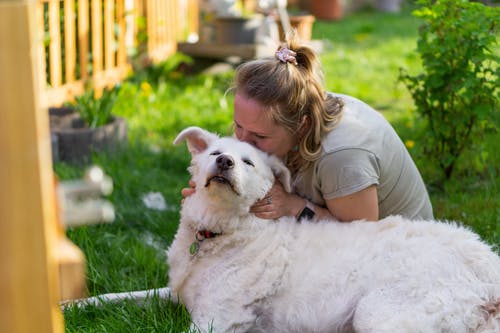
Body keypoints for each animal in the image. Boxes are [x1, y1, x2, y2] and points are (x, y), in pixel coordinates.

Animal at [167, 126, 500, 330]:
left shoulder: (216, 319)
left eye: (248, 162)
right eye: (214, 153)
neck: (218, 230)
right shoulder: (177, 295)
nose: (225, 162)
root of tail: (486, 267)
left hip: (376, 312)